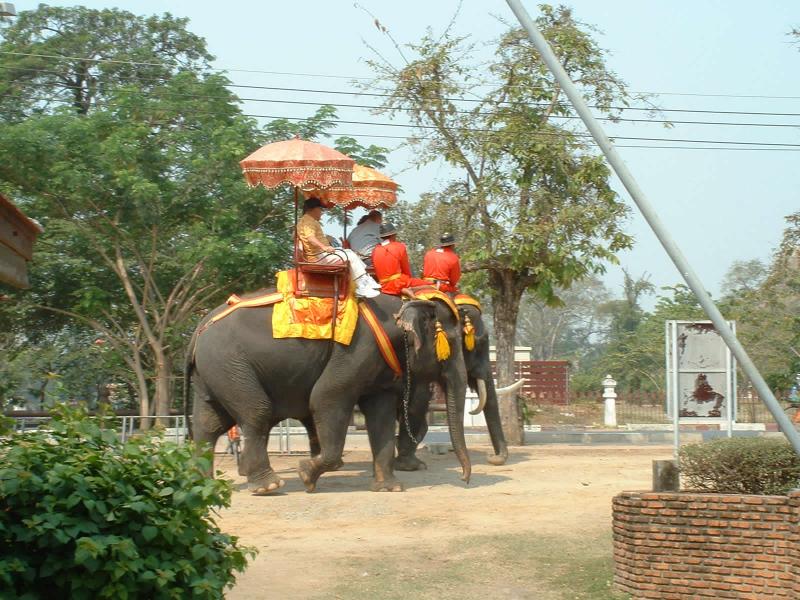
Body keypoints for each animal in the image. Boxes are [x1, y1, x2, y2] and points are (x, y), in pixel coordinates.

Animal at [184, 290, 468, 492]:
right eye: (453, 344)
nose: (465, 480)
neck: (399, 305)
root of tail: (199, 329)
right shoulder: (355, 352)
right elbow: (325, 398)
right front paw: (305, 475)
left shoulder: (380, 365)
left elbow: (381, 416)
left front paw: (390, 488)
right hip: (230, 365)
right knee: (256, 413)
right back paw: (268, 486)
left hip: (216, 372)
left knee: (208, 424)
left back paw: (203, 483)